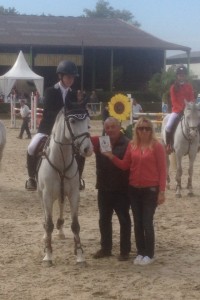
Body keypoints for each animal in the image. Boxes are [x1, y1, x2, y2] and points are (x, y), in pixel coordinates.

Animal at [37, 106, 93, 266]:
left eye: (88, 121)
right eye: (72, 121)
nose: (88, 149)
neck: (60, 161)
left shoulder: (74, 194)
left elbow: (75, 225)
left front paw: (80, 256)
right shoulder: (47, 195)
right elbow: (49, 224)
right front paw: (48, 256)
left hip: (62, 194)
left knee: (61, 207)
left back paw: (61, 231)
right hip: (42, 194)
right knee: (46, 216)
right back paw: (46, 236)